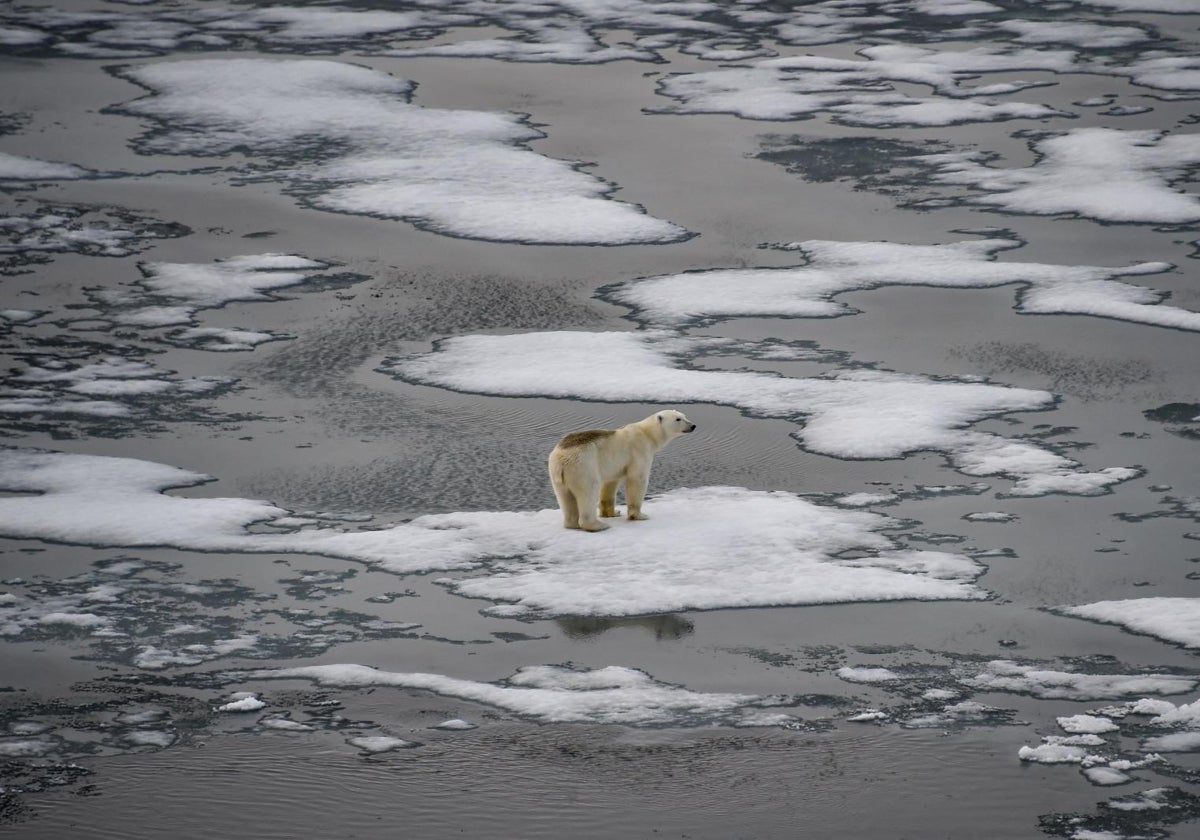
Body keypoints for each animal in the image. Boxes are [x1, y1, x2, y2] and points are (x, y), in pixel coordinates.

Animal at [544, 412, 696, 535]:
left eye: (684, 416)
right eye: (678, 419)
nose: (693, 425)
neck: (647, 434)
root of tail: (561, 459)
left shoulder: (613, 466)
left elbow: (610, 484)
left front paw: (613, 512)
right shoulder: (639, 451)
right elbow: (637, 479)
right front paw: (640, 515)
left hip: (557, 474)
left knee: (564, 496)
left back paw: (572, 523)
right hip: (583, 467)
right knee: (589, 492)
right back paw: (599, 525)